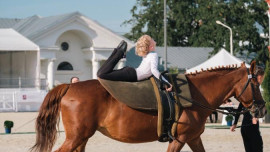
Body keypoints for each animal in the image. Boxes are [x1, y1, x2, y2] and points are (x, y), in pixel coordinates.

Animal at [31, 61, 266, 152]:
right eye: (256, 84)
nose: (263, 109)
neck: (194, 94)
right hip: (76, 137)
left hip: (81, 138)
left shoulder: (193, 138)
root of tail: (70, 87)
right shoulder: (179, 139)